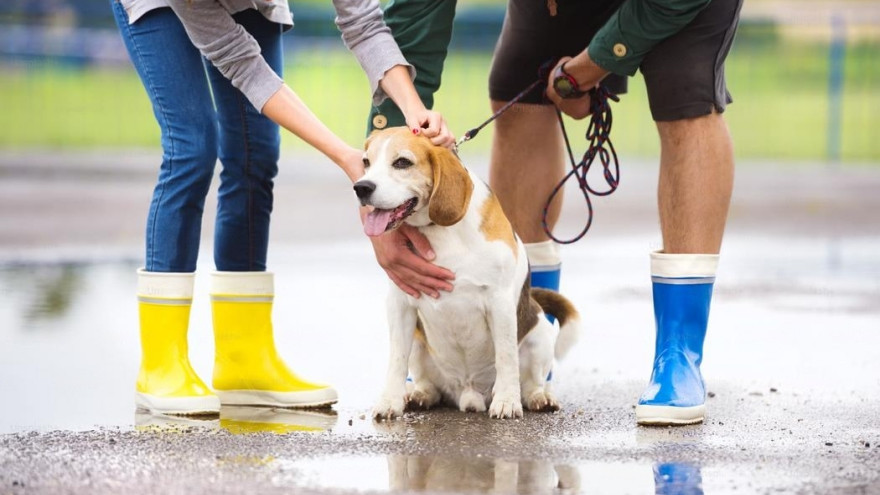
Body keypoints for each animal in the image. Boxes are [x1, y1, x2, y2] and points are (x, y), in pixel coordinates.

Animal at [354, 127, 580, 418]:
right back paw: (420, 395)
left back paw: (537, 397)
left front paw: (507, 401)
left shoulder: (500, 303)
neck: (440, 231)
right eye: (366, 162)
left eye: (402, 162)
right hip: (418, 341)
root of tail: (468, 394)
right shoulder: (400, 303)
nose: (361, 187)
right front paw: (390, 401)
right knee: (428, 383)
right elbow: (396, 360)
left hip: (540, 335)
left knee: (531, 381)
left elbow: (506, 357)